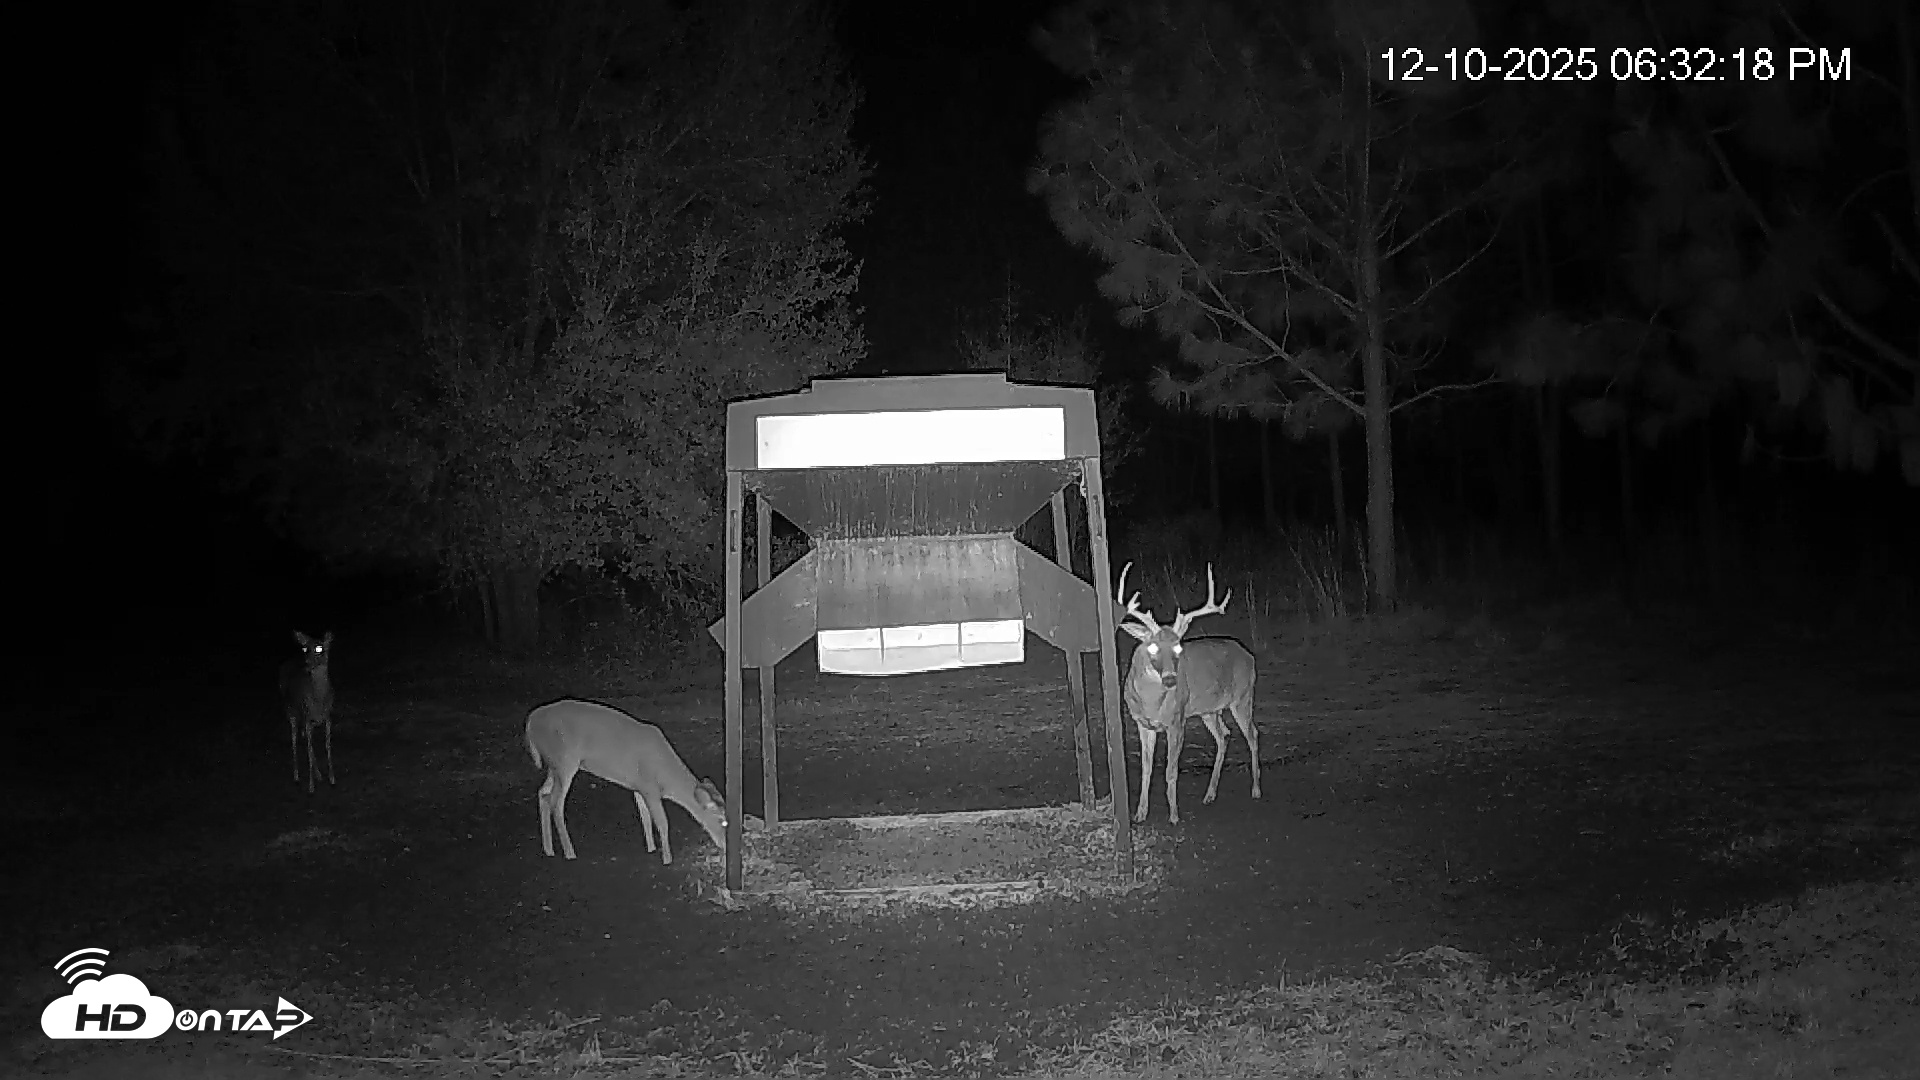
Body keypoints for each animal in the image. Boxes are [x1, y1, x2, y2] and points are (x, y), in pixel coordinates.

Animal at [280, 630, 336, 794]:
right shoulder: (307, 717)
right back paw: (297, 776)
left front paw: (332, 779)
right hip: (291, 711)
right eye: (305, 648)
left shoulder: (328, 716)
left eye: (319, 648)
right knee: (294, 740)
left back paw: (318, 775)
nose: (307, 665)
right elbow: (309, 750)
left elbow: (327, 746)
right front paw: (311, 787)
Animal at [524, 699, 729, 863]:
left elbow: (645, 817)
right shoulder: (649, 787)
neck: (668, 776)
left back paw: (549, 850)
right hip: (564, 760)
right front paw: (667, 859)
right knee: (555, 802)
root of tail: (531, 722)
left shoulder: (638, 786)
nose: (725, 847)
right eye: (722, 821)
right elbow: (662, 822)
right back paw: (569, 852)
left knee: (543, 793)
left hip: (553, 765)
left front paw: (651, 848)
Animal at [1116, 562, 1260, 824]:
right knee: (1224, 735)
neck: (1151, 702)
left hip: (1243, 696)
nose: (1170, 679)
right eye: (1152, 646)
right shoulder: (1142, 724)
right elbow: (1146, 769)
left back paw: (1255, 789)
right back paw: (1210, 794)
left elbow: (1171, 771)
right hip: (1209, 710)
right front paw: (1140, 813)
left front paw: (1174, 816)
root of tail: (1248, 655)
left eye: (1178, 647)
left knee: (1253, 734)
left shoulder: (1177, 721)